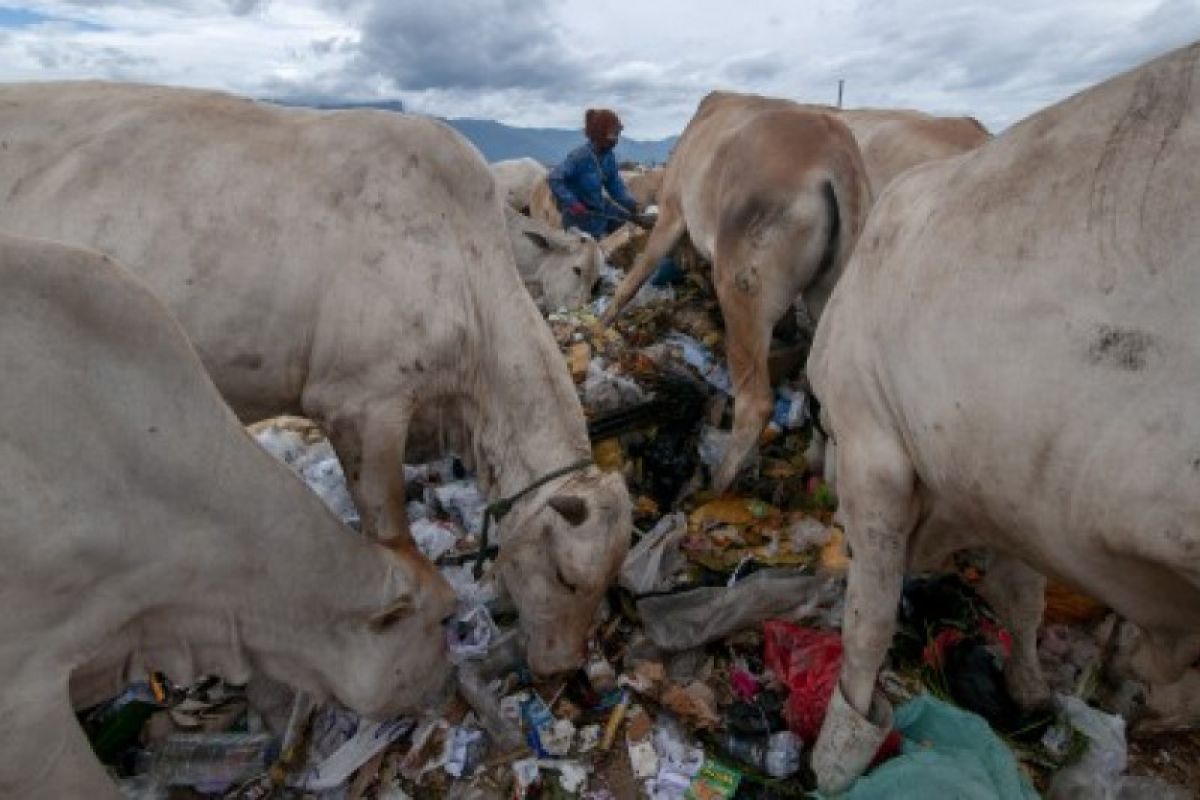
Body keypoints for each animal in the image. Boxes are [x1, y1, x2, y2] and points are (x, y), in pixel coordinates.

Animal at [600, 94, 873, 494]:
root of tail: (835, 149)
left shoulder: (671, 212)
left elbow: (635, 276)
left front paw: (603, 319)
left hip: (739, 288)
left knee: (756, 403)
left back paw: (717, 482)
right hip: (828, 300)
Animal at [806, 43, 1200, 796]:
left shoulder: (874, 449)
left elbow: (869, 618)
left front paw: (841, 748)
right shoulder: (1007, 492)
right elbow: (1021, 598)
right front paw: (1034, 695)